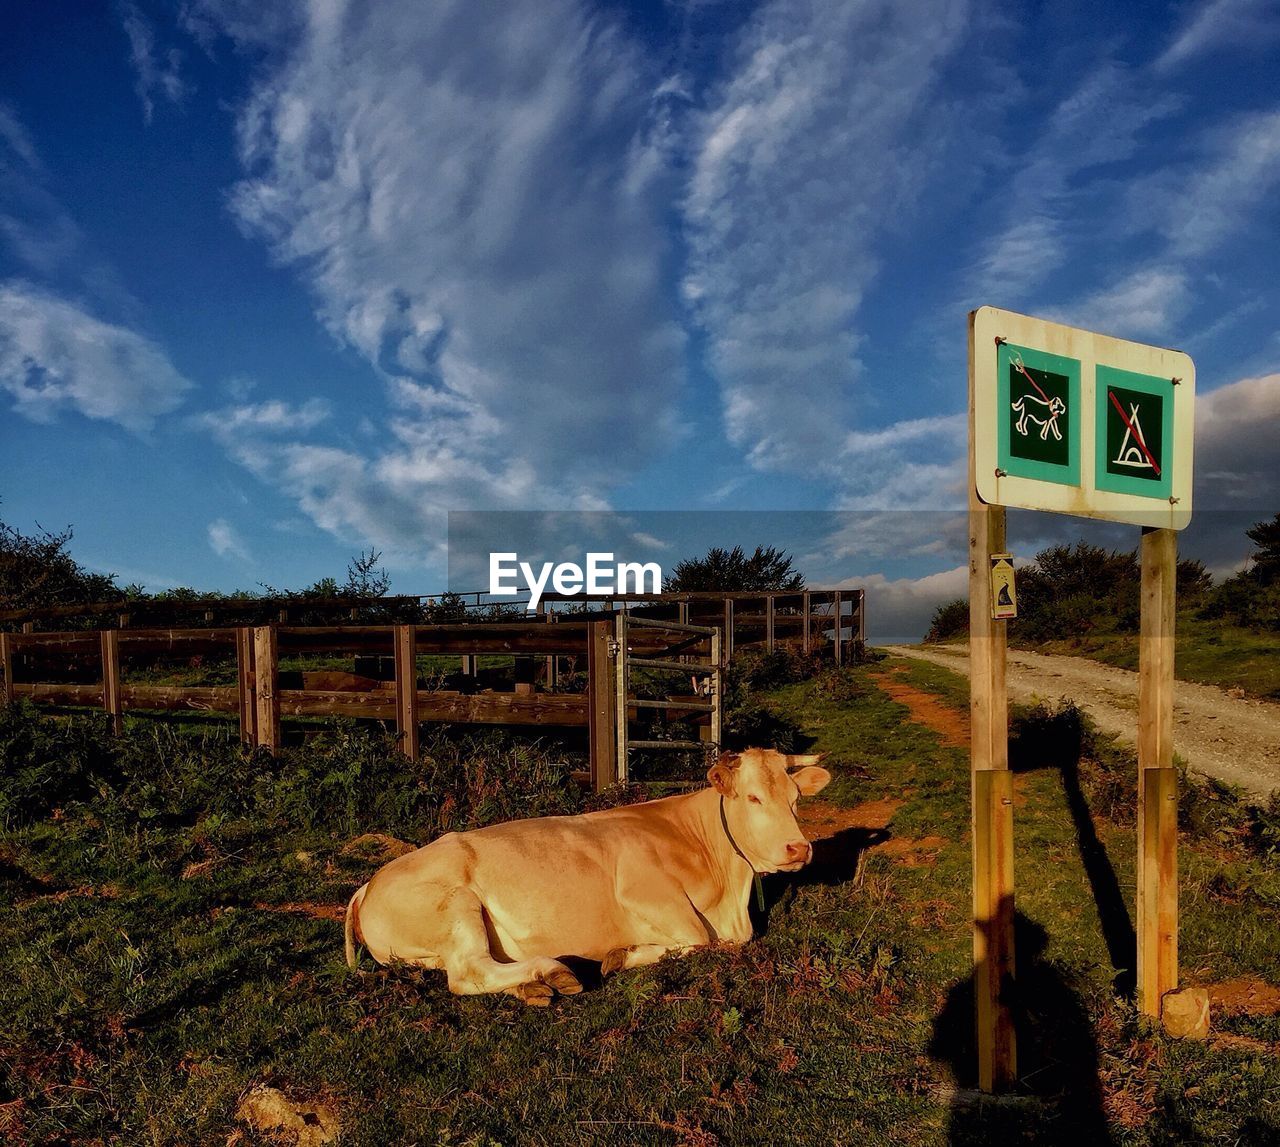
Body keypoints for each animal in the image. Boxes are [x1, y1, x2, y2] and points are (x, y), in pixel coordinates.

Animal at [345, 742, 829, 1003]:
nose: (798, 848)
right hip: (455, 904)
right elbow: (701, 939)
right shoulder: (643, 891)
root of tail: (368, 884)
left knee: (470, 971)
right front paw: (622, 956)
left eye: (795, 798)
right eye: (752, 798)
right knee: (467, 972)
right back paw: (553, 971)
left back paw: (534, 987)